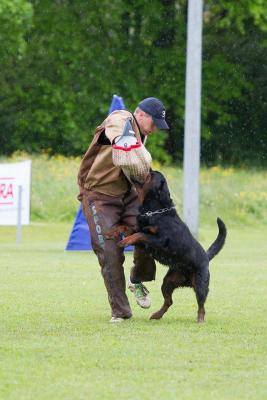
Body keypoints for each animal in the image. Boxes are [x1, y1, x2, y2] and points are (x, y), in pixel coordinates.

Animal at [108, 171, 227, 322]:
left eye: (150, 175)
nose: (146, 170)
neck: (156, 211)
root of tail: (206, 256)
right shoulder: (141, 235)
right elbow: (127, 228)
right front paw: (112, 232)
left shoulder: (160, 241)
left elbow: (140, 234)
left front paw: (124, 241)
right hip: (168, 282)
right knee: (169, 301)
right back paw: (157, 315)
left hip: (201, 284)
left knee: (201, 304)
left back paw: (200, 319)